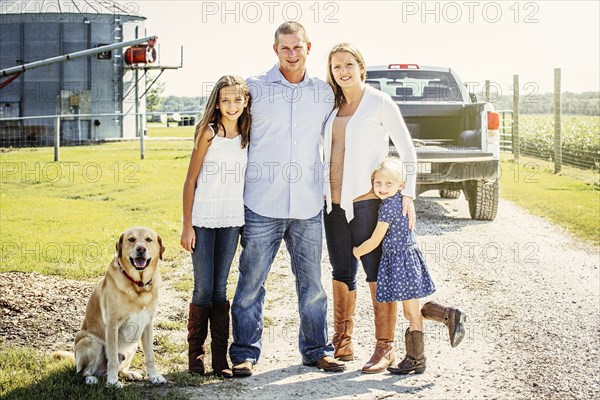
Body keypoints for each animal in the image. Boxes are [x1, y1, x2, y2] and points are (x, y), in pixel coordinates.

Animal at [75, 228, 169, 388]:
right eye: (131, 239)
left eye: (148, 240)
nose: (141, 249)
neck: (138, 285)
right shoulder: (113, 325)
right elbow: (112, 358)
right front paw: (113, 382)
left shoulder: (147, 325)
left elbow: (150, 355)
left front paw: (154, 376)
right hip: (90, 341)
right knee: (83, 372)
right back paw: (91, 378)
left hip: (133, 343)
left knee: (119, 368)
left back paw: (128, 373)